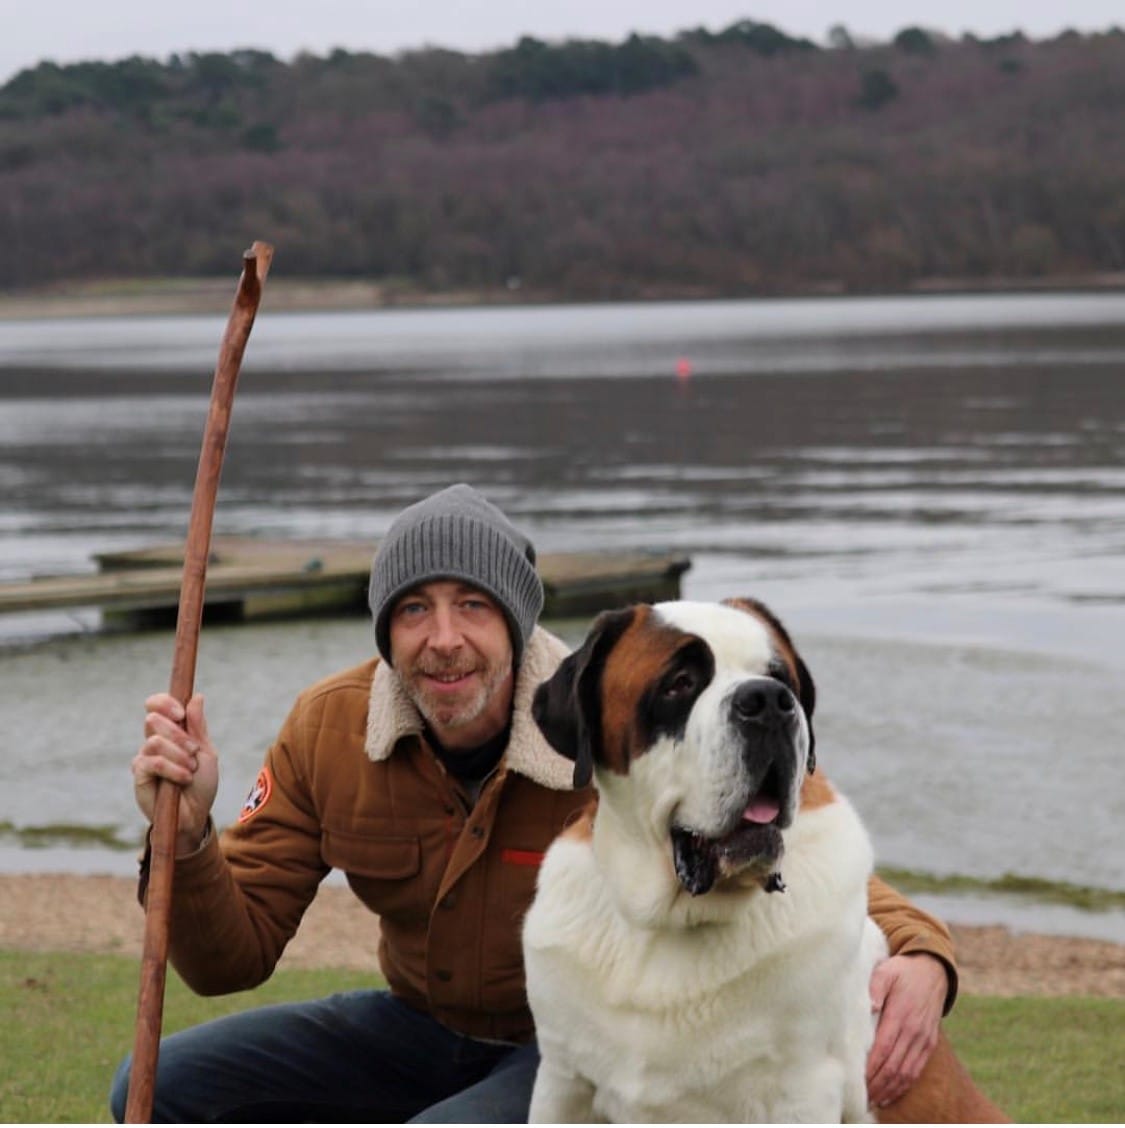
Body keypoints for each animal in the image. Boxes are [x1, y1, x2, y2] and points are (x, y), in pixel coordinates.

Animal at [521, 600, 1006, 1118]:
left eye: (781, 678)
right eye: (680, 682)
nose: (769, 701)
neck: (671, 923)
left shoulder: (802, 1086)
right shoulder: (563, 1078)